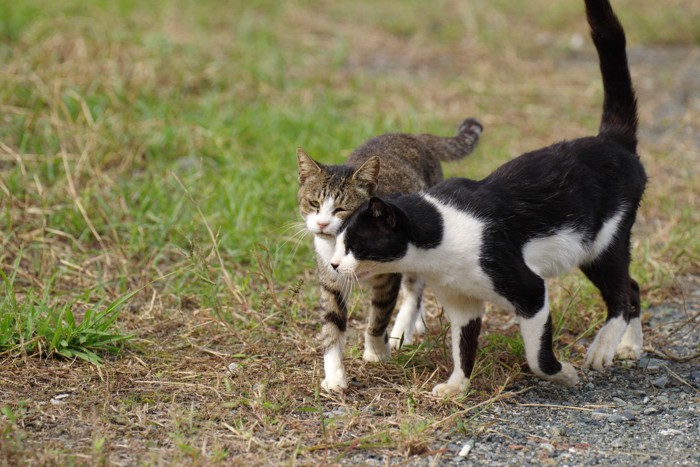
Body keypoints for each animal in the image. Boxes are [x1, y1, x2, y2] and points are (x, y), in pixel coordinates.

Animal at [296, 119, 482, 392]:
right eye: (313, 204)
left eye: (341, 209)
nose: (321, 224)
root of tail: (415, 136)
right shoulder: (330, 279)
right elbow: (332, 325)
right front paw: (335, 376)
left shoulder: (388, 277)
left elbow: (378, 317)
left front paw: (377, 351)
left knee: (414, 290)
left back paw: (401, 329)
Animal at [330, 0, 648, 396]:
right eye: (337, 243)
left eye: (355, 246)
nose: (333, 265)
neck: (439, 237)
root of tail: (611, 140)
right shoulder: (462, 302)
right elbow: (463, 346)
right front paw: (456, 387)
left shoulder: (530, 291)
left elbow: (536, 357)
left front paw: (563, 374)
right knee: (633, 287)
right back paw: (629, 347)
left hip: (604, 243)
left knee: (623, 295)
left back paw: (603, 348)